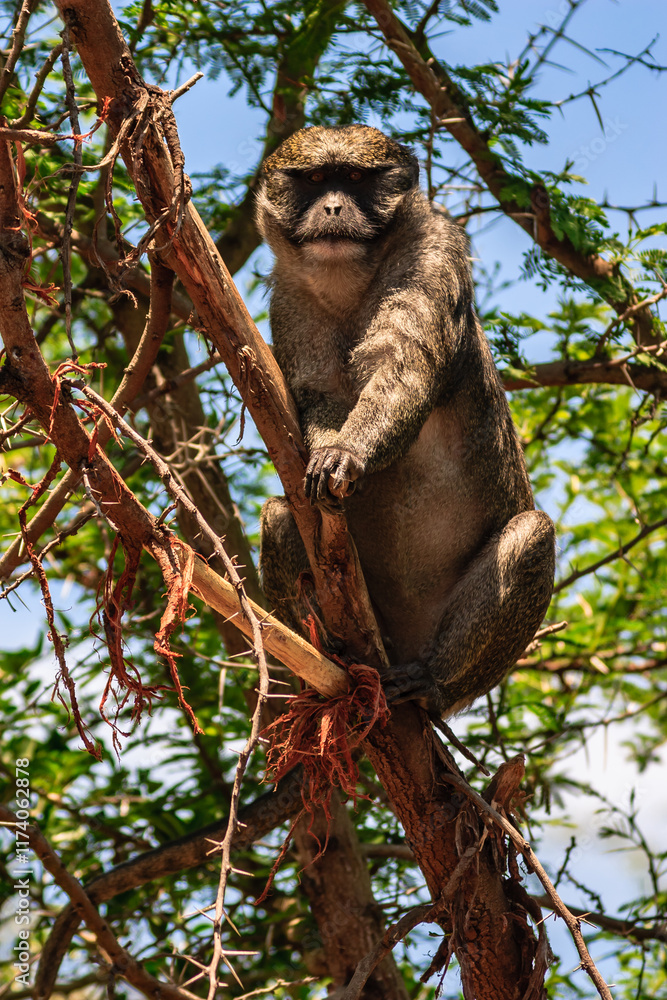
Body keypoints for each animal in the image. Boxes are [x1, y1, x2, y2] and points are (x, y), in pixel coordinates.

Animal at [255, 124, 555, 719]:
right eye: (314, 179)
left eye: (353, 177)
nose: (332, 207)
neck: (351, 280)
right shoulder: (289, 297)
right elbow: (319, 395)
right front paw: (326, 453)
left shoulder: (432, 255)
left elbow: (405, 369)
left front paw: (348, 455)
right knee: (277, 515)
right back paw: (327, 650)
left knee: (533, 533)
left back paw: (430, 681)